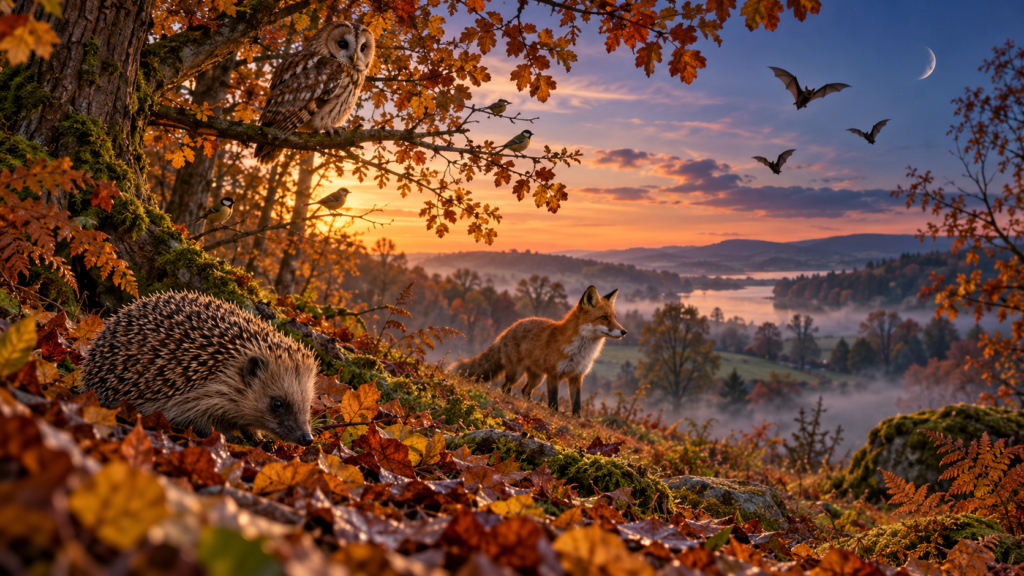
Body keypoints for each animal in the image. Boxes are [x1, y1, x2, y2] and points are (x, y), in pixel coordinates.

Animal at [451, 285, 626, 416]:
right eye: (604, 318)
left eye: (615, 318)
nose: (624, 332)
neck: (579, 352)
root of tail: (508, 328)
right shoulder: (554, 375)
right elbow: (553, 401)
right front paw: (553, 415)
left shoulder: (577, 376)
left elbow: (576, 404)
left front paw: (577, 420)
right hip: (517, 373)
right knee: (506, 387)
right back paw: (512, 401)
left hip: (537, 378)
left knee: (525, 390)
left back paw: (529, 404)